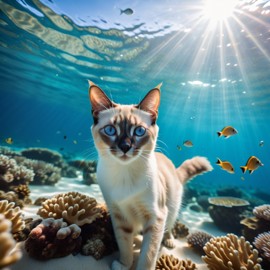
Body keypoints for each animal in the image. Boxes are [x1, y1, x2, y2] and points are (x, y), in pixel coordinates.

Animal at [88, 81, 213, 270]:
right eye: (110, 130)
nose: (125, 147)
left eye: (139, 131)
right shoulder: (119, 216)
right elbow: (124, 245)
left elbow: (148, 254)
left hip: (171, 207)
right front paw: (124, 264)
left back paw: (169, 241)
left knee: (169, 226)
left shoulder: (156, 217)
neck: (125, 175)